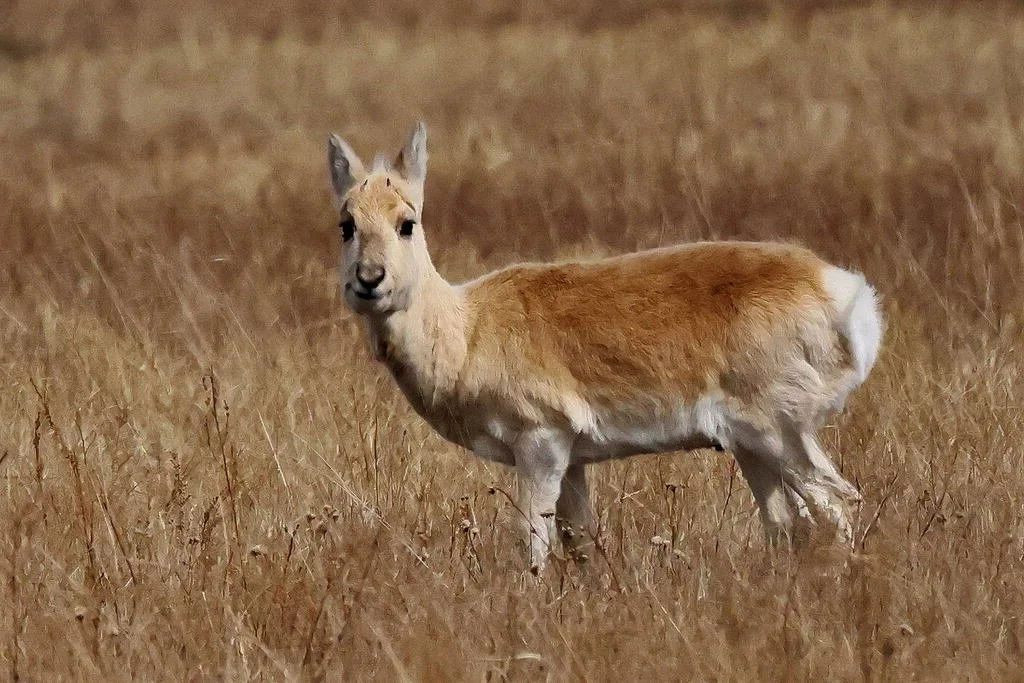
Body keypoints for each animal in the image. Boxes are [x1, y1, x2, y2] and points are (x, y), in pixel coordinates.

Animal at [327, 122, 883, 572]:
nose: (369, 280)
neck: (470, 326)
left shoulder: (540, 443)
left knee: (837, 502)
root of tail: (843, 289)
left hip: (780, 435)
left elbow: (532, 541)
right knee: (786, 524)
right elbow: (580, 542)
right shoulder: (573, 460)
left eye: (407, 221)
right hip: (751, 448)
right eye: (346, 223)